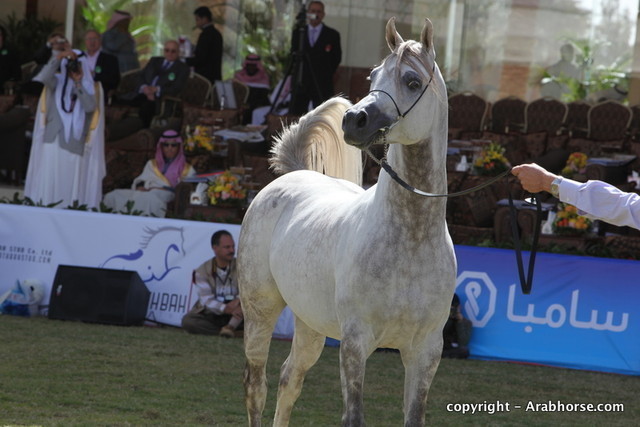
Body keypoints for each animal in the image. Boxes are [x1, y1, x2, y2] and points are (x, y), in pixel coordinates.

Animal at [238, 17, 456, 426]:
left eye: (412, 81)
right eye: (372, 76)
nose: (354, 120)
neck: (412, 241)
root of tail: (295, 174)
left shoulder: (425, 352)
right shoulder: (355, 343)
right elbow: (353, 415)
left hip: (310, 324)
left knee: (289, 379)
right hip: (259, 312)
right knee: (256, 386)